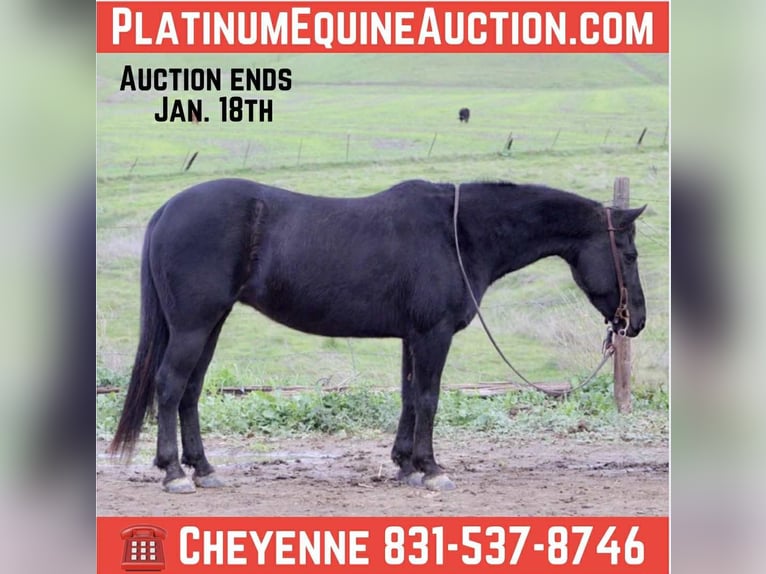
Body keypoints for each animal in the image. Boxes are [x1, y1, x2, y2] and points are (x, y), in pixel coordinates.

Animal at [108, 178, 647, 493]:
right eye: (631, 253)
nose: (636, 321)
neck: (458, 233)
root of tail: (168, 209)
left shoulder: (413, 336)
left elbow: (409, 397)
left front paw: (405, 465)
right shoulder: (433, 335)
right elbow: (428, 398)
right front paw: (432, 470)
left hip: (209, 325)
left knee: (190, 392)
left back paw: (204, 470)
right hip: (194, 325)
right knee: (170, 387)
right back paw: (174, 473)